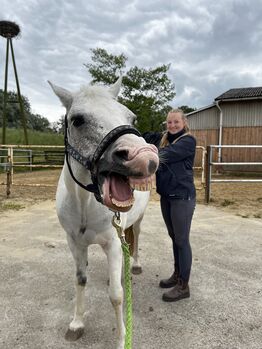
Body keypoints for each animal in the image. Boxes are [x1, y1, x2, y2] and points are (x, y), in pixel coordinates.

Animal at [48, 77, 160, 348]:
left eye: (131, 118)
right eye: (77, 120)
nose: (145, 158)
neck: (84, 203)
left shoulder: (112, 242)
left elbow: (117, 296)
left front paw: (121, 339)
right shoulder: (75, 243)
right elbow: (80, 280)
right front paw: (76, 323)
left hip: (137, 222)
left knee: (136, 240)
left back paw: (135, 266)